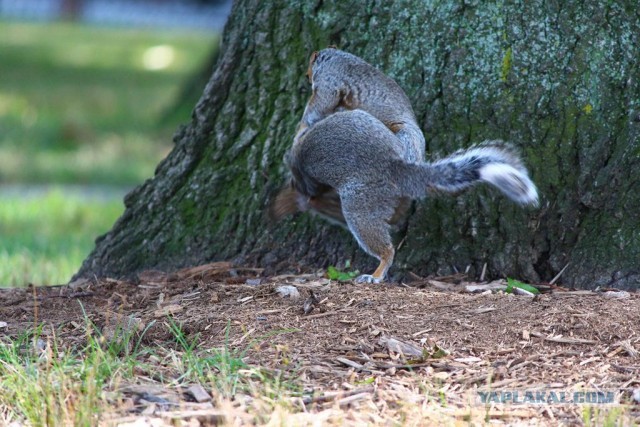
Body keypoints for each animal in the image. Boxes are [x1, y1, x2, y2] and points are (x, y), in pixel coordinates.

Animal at [270, 47, 424, 224]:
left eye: (309, 68)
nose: (306, 77)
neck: (336, 58)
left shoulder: (328, 80)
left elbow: (319, 105)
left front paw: (301, 127)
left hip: (402, 140)